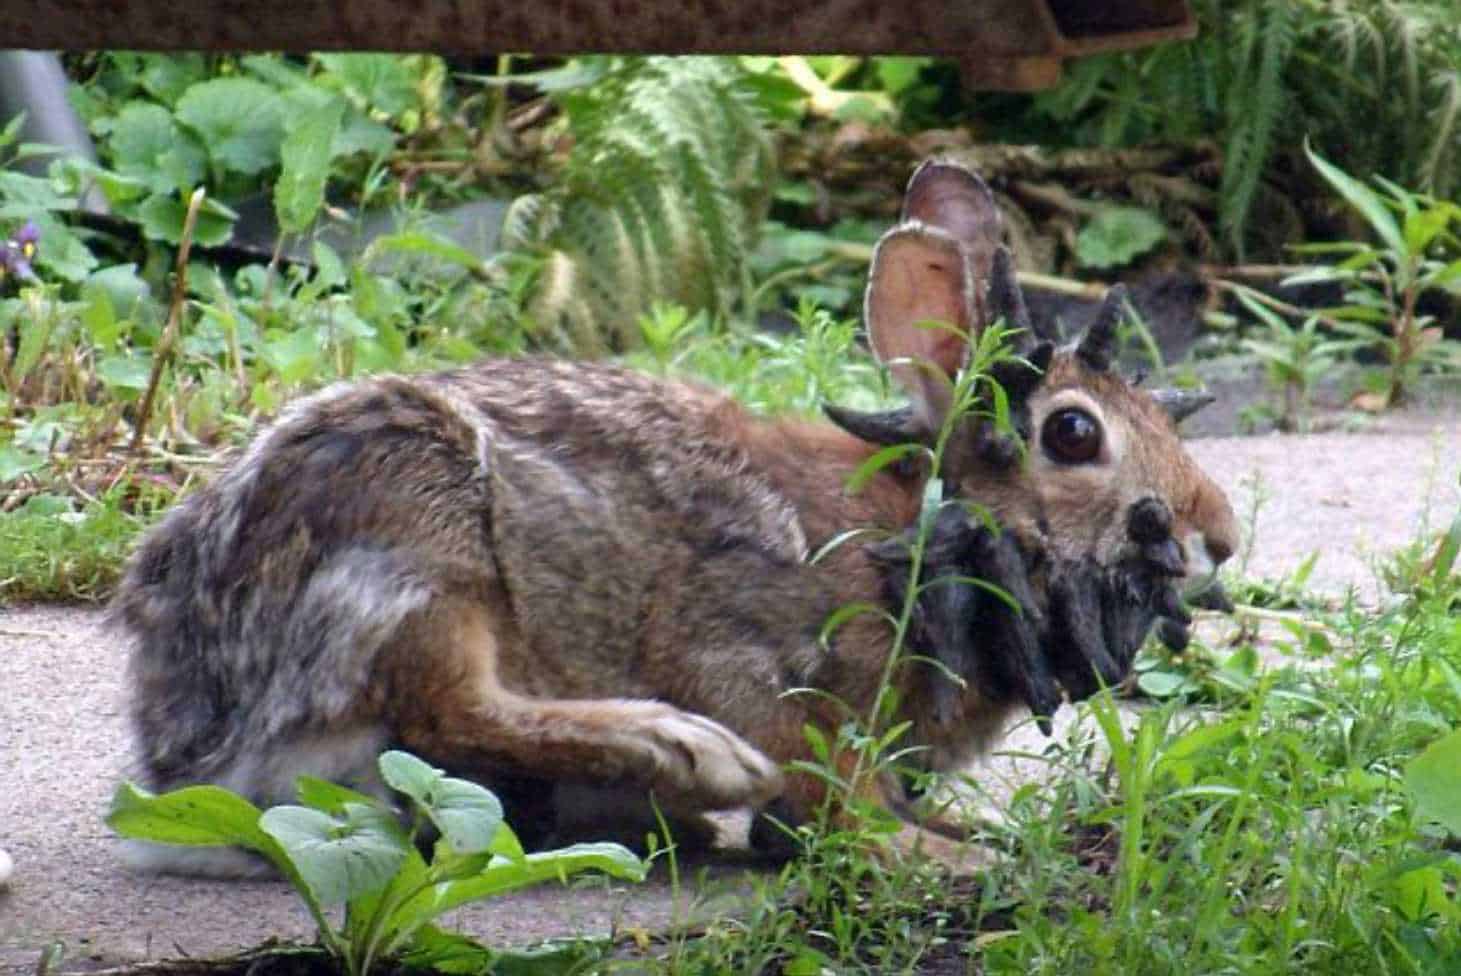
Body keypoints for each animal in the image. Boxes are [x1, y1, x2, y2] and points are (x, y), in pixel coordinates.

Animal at [113, 159, 1238, 876]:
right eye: (1074, 435)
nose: (1217, 534)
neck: (920, 525)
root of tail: (192, 745)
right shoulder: (756, 657)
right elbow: (825, 786)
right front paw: (930, 856)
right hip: (420, 533)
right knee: (450, 707)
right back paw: (682, 756)